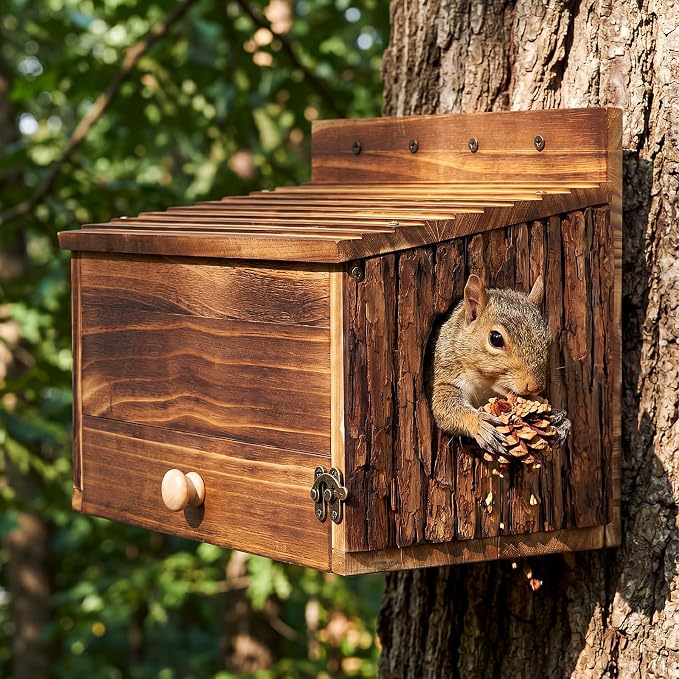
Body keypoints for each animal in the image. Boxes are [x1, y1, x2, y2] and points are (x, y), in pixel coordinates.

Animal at [429, 273, 570, 456]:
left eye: (548, 340)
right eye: (495, 339)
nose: (535, 386)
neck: (484, 385)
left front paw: (560, 419)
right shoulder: (447, 376)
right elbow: (444, 408)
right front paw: (481, 424)